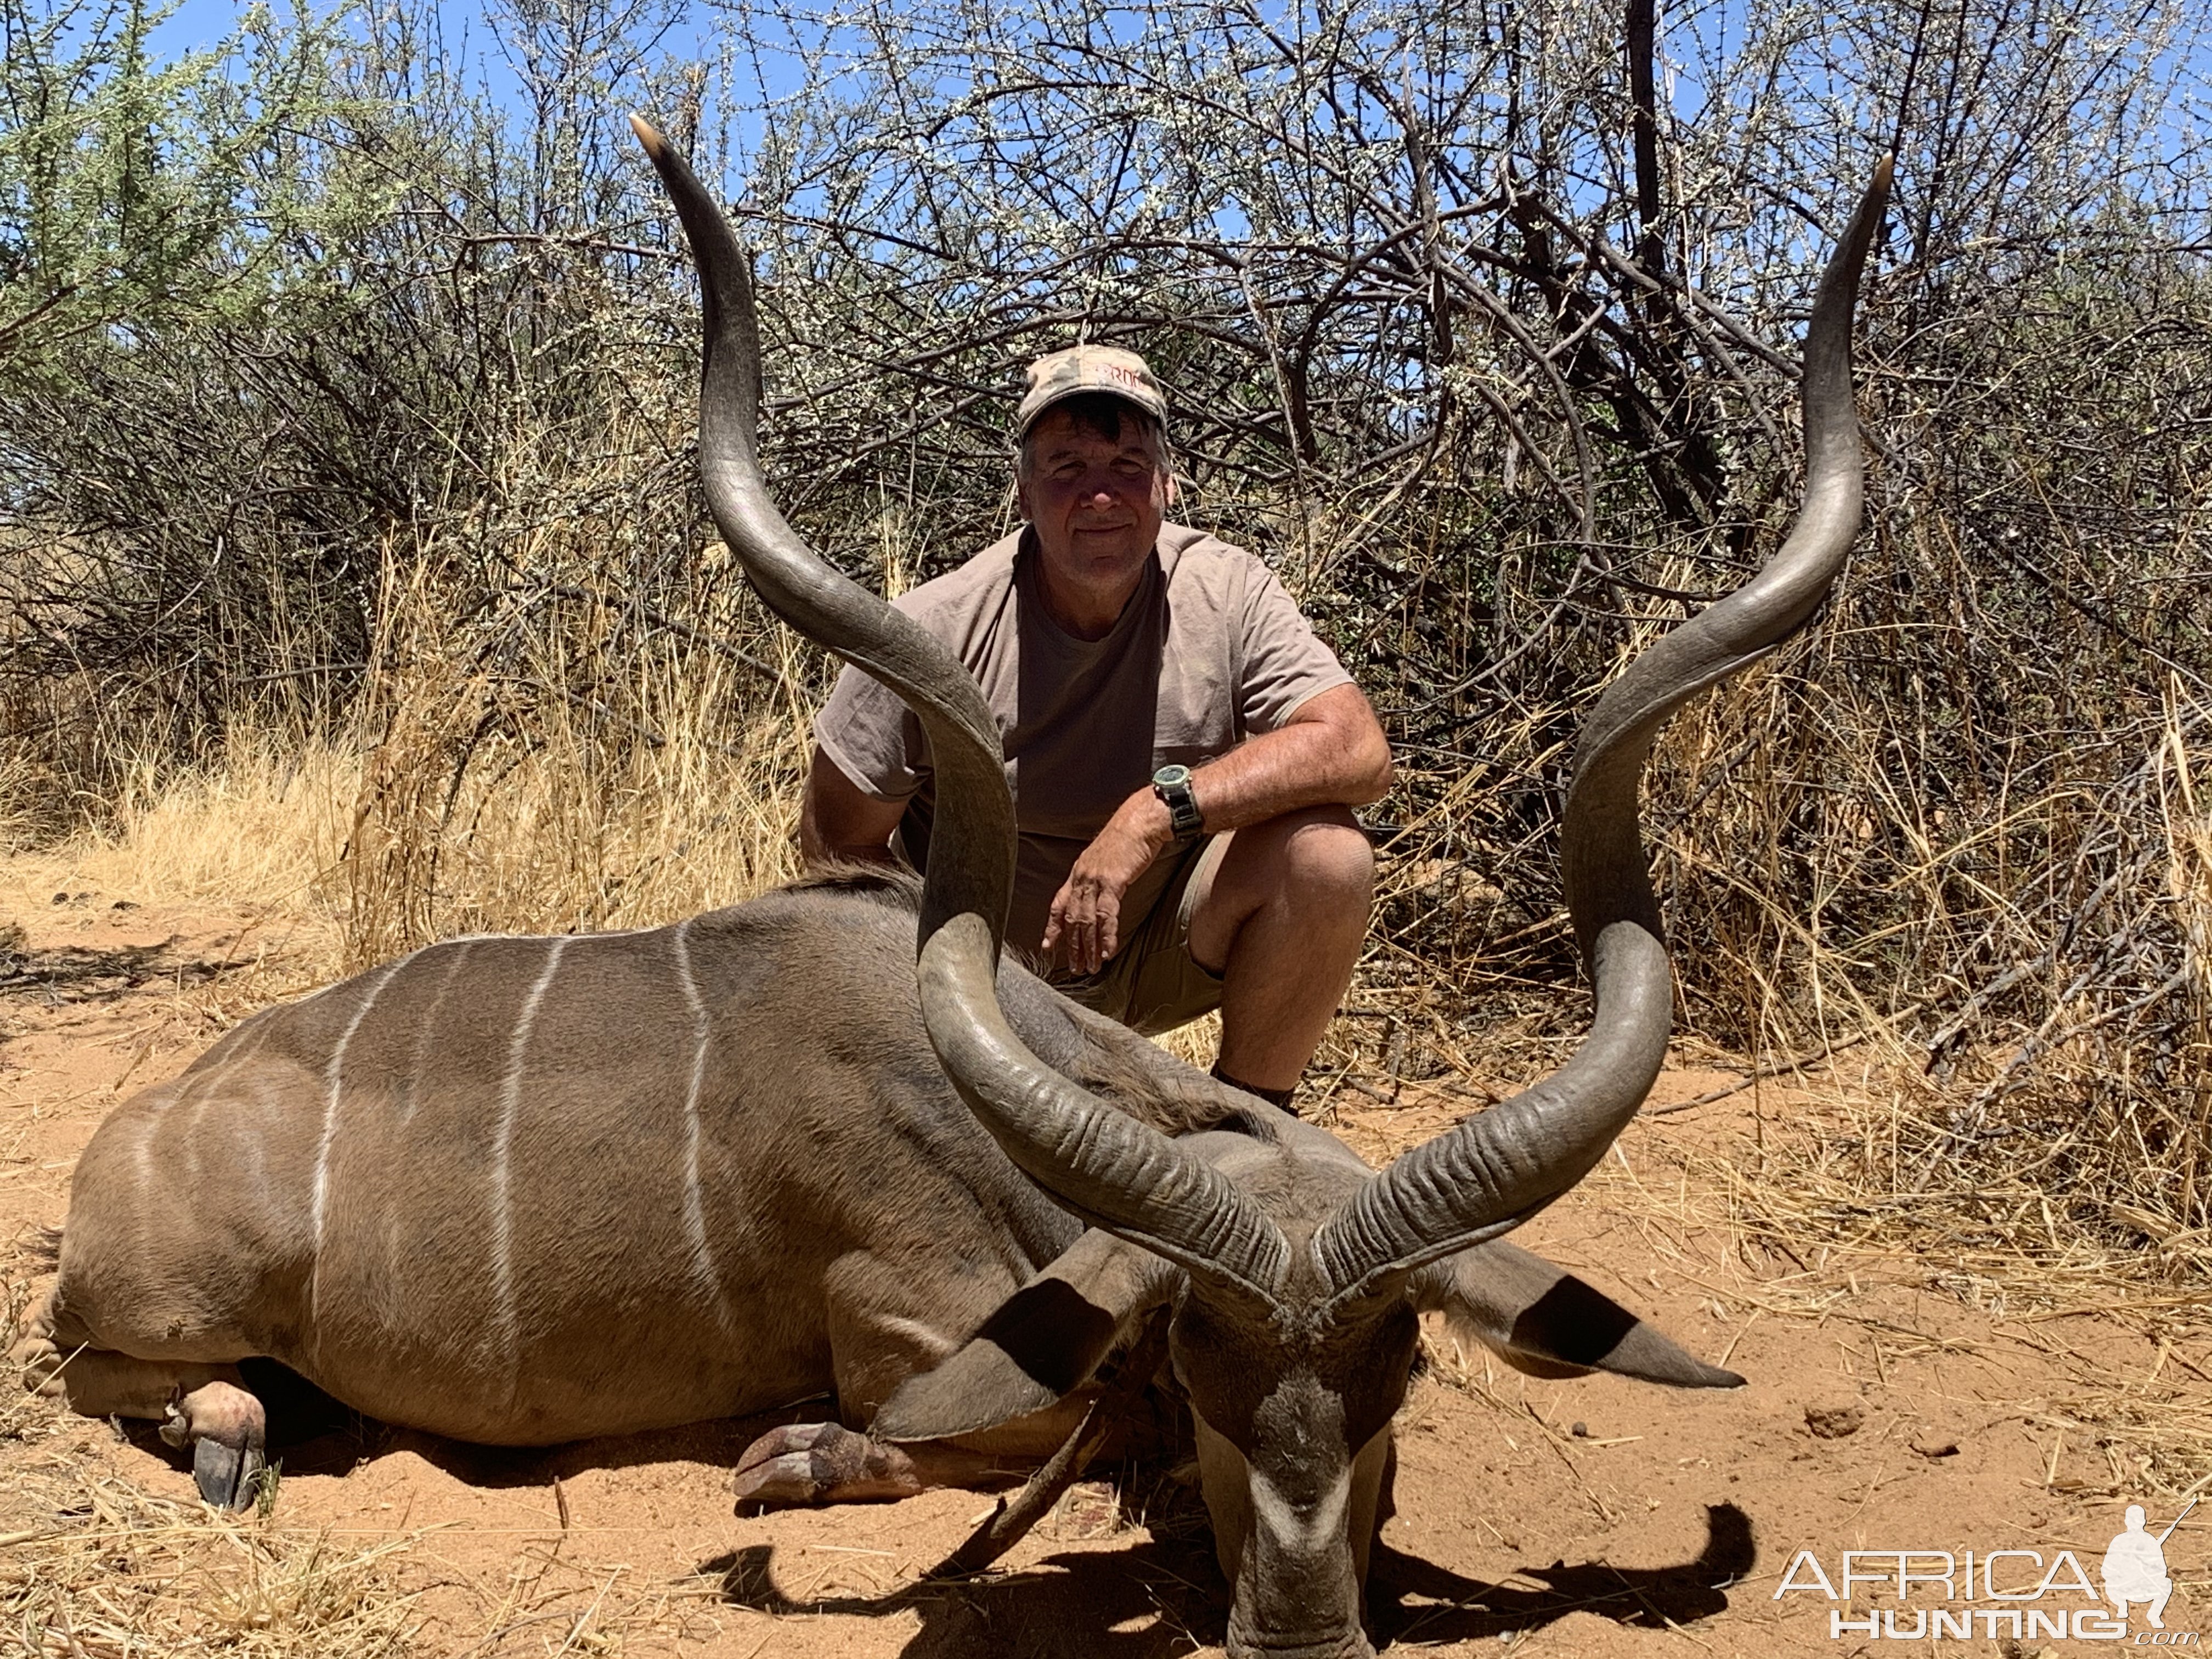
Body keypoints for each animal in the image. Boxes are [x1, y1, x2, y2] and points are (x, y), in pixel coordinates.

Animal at [13, 114, 1884, 1654]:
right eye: (1196, 1356)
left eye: (1400, 1367)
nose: (1298, 1633)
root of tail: (135, 1141)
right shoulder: (905, 1333)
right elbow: (944, 1439)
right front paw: (788, 1469)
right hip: (158, 1311)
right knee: (115, 1370)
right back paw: (239, 1438)